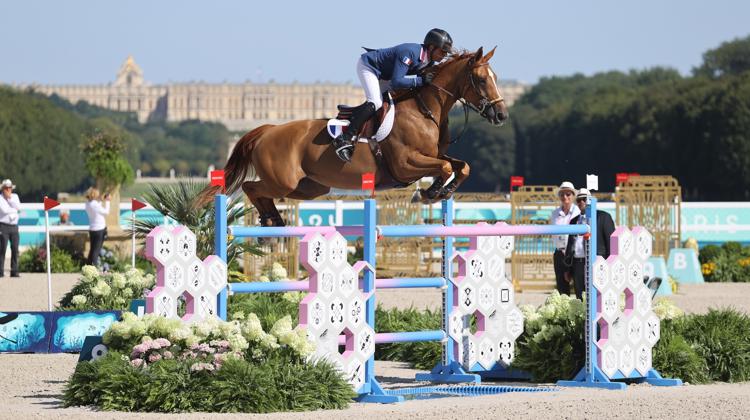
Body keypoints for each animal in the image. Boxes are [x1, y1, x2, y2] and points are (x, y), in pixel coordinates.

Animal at [198, 47, 512, 226]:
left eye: (497, 77)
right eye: (480, 79)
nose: (501, 115)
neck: (424, 109)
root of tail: (268, 130)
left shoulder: (431, 155)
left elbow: (461, 166)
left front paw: (442, 191)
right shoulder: (405, 164)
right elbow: (445, 167)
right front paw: (429, 192)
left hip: (310, 187)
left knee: (260, 191)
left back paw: (272, 219)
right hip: (282, 180)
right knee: (250, 187)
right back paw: (270, 219)